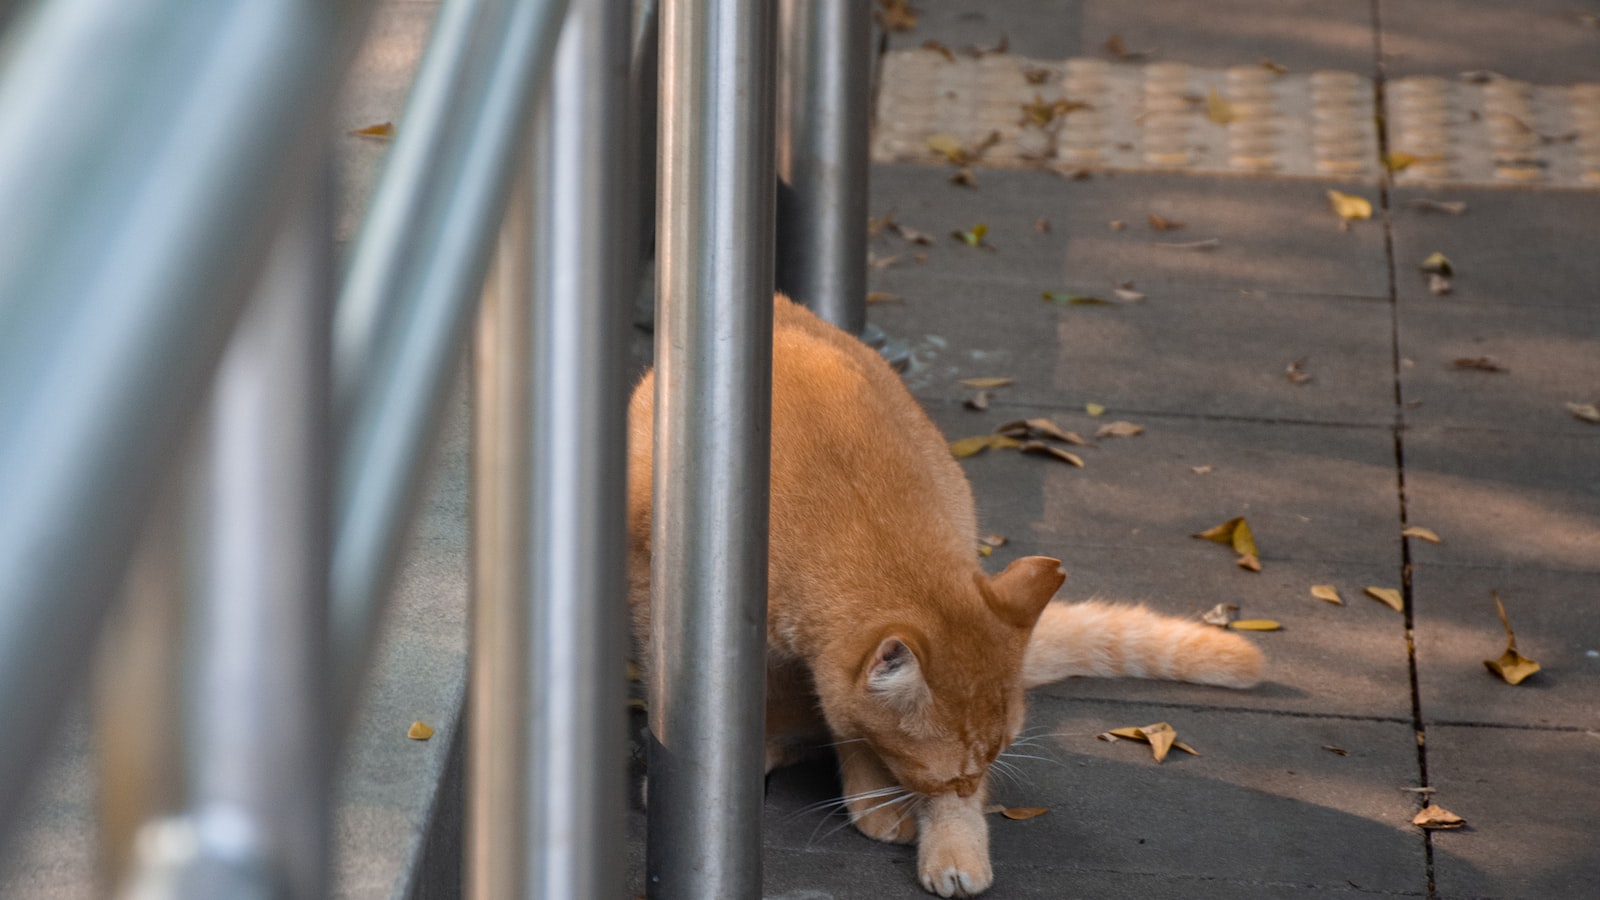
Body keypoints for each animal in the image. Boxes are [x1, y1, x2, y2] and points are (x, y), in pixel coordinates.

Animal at [624, 293, 1260, 890]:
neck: (863, 521)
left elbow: (848, 723)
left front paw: (941, 834)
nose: (975, 786)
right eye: (950, 776)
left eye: (990, 762)